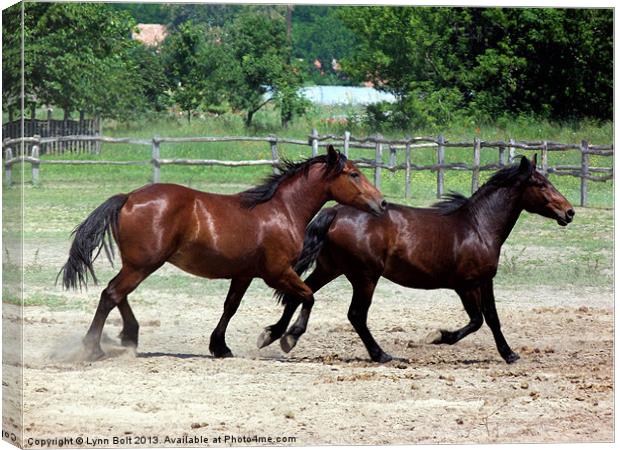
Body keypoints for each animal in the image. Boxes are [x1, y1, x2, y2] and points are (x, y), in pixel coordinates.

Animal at [60, 146, 386, 360]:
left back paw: (129, 336)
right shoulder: (277, 273)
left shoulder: (243, 274)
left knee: (117, 294)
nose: (382, 203)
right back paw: (94, 348)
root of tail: (128, 197)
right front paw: (283, 337)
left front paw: (220, 346)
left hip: (139, 264)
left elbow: (231, 307)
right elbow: (307, 296)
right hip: (143, 264)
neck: (281, 210)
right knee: (111, 294)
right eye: (354, 174)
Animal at [258, 156, 576, 364]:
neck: (478, 226)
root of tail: (335, 212)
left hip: (330, 267)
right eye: (540, 183)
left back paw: (278, 335)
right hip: (364, 276)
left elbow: (483, 319)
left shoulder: (472, 284)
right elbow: (484, 319)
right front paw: (442, 338)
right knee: (356, 315)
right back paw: (382, 355)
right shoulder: (473, 283)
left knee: (299, 295)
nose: (569, 212)